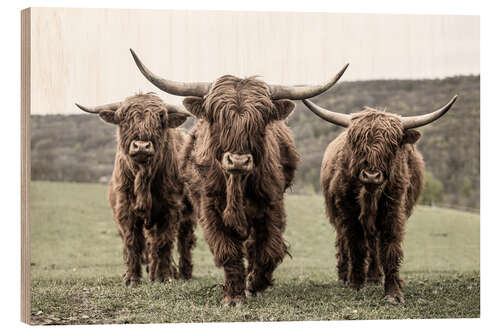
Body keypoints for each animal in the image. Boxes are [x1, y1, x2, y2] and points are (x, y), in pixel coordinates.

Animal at [76, 92, 195, 286]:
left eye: (161, 118)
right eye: (124, 118)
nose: (141, 146)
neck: (143, 179)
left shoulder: (170, 209)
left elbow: (164, 242)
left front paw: (164, 276)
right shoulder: (125, 209)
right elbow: (132, 242)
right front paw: (132, 278)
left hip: (188, 213)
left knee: (185, 239)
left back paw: (183, 273)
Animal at [129, 48, 348, 304]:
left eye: (260, 119)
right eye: (218, 117)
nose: (239, 161)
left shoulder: (271, 206)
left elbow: (268, 250)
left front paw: (255, 284)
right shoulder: (210, 209)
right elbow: (228, 251)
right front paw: (233, 296)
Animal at [300, 94, 458, 302]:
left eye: (392, 145)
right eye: (358, 143)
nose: (371, 175)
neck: (369, 195)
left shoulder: (394, 209)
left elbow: (390, 246)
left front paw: (393, 292)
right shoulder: (348, 213)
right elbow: (356, 245)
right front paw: (356, 283)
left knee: (374, 244)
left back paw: (376, 276)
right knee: (344, 242)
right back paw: (345, 276)